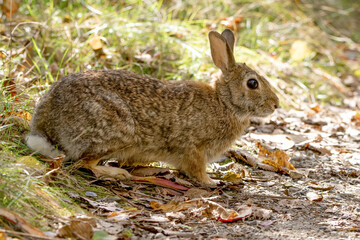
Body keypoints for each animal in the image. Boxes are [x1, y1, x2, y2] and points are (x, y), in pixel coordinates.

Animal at [25, 29, 280, 186]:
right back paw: (118, 173)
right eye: (252, 83)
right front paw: (212, 182)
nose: (276, 104)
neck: (225, 103)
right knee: (83, 162)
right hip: (115, 131)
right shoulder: (193, 147)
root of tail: (45, 124)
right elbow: (197, 169)